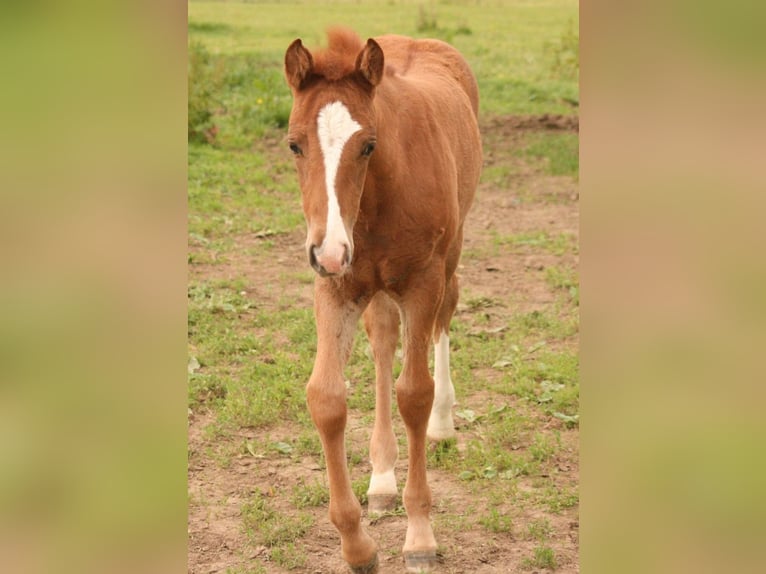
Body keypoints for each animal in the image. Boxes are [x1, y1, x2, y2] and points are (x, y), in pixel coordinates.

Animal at [284, 28, 484, 574]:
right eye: (293, 144)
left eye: (368, 145)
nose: (329, 251)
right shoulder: (336, 287)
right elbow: (326, 398)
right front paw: (357, 545)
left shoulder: (421, 281)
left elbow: (414, 393)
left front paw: (419, 536)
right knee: (382, 341)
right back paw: (381, 480)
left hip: (450, 256)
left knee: (443, 318)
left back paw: (443, 424)